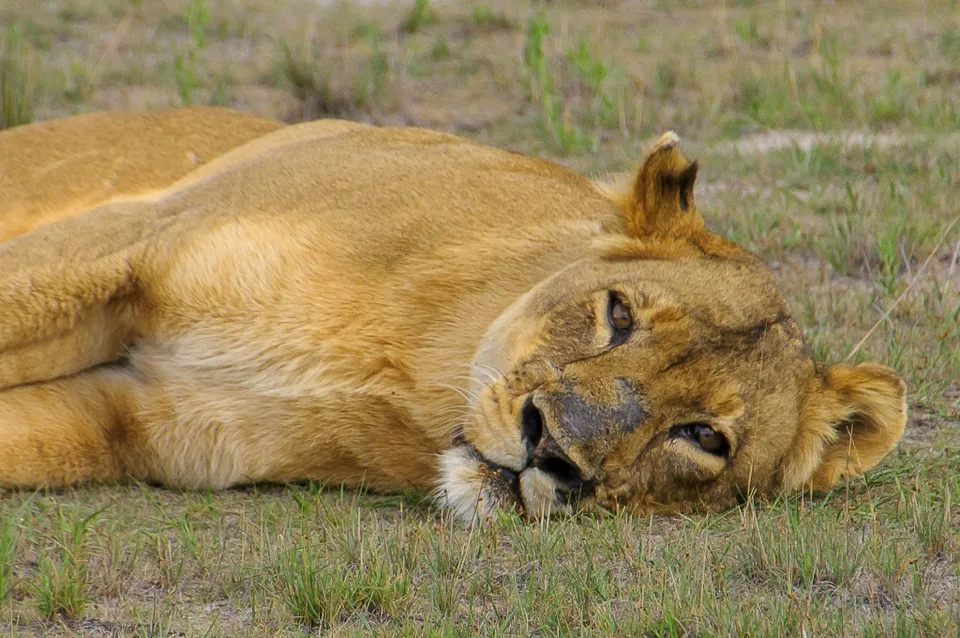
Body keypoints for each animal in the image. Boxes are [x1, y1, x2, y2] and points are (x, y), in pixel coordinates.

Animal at [0, 107, 906, 521]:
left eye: (704, 438)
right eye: (617, 316)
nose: (551, 450)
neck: (406, 376)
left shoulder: (129, 416)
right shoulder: (136, 239)